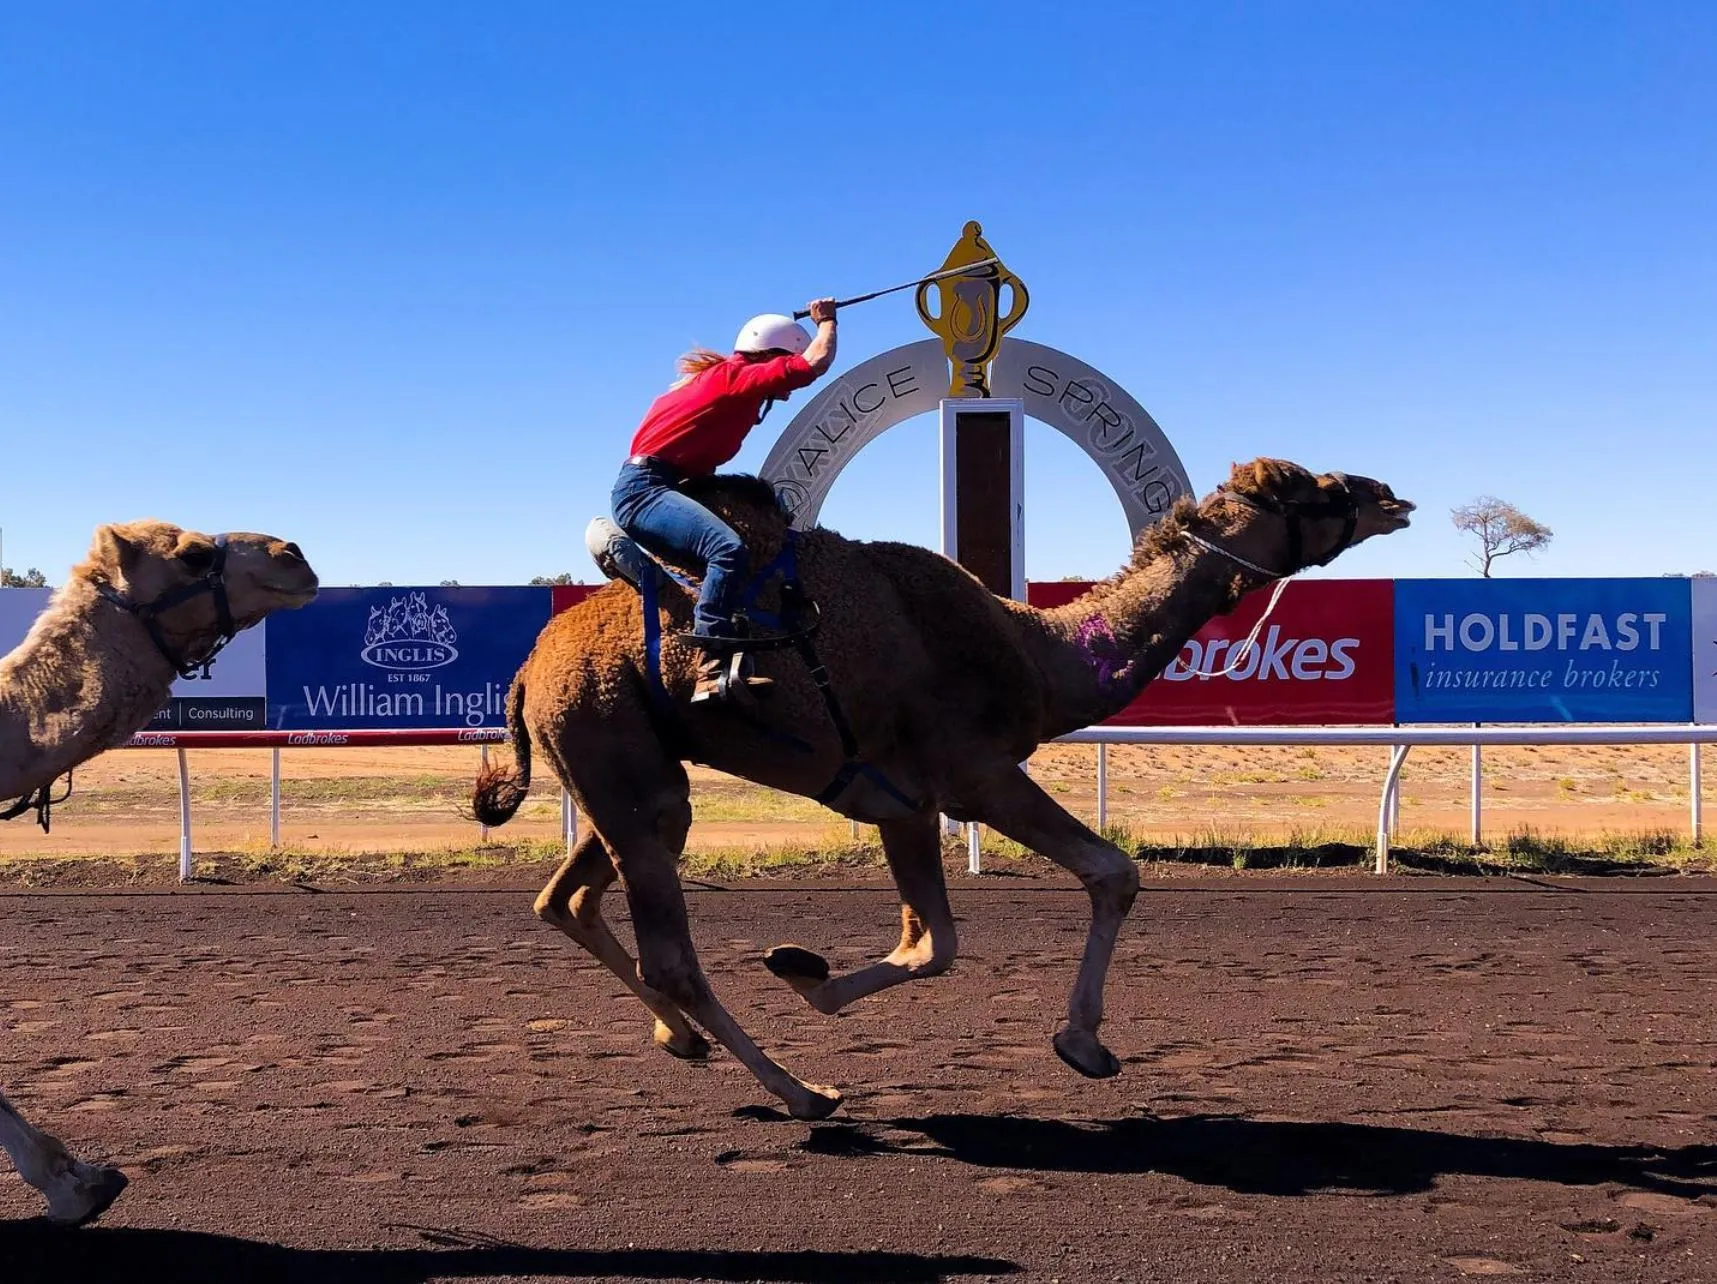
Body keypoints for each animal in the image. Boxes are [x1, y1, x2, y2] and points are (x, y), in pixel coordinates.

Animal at [473, 458, 1412, 1120]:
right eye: (1312, 489)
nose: (1388, 495)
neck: (1040, 655)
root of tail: (526, 671)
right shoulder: (973, 774)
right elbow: (1107, 875)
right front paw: (1082, 1045)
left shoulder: (902, 801)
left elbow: (932, 940)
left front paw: (804, 970)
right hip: (616, 749)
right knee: (663, 951)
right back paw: (805, 1094)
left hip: (623, 775)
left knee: (567, 899)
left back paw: (684, 1042)